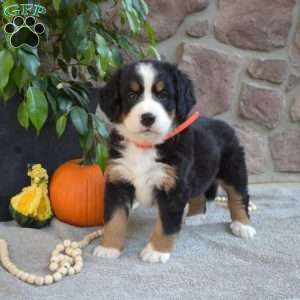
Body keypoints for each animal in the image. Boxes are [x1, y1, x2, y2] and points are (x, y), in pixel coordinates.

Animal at [93, 60, 255, 262]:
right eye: (131, 95)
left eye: (163, 95)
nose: (148, 117)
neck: (145, 146)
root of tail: (223, 124)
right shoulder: (119, 180)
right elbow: (114, 219)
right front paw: (108, 248)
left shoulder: (174, 185)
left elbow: (166, 223)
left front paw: (156, 251)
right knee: (198, 192)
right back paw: (195, 217)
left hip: (233, 168)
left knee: (239, 196)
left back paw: (243, 225)